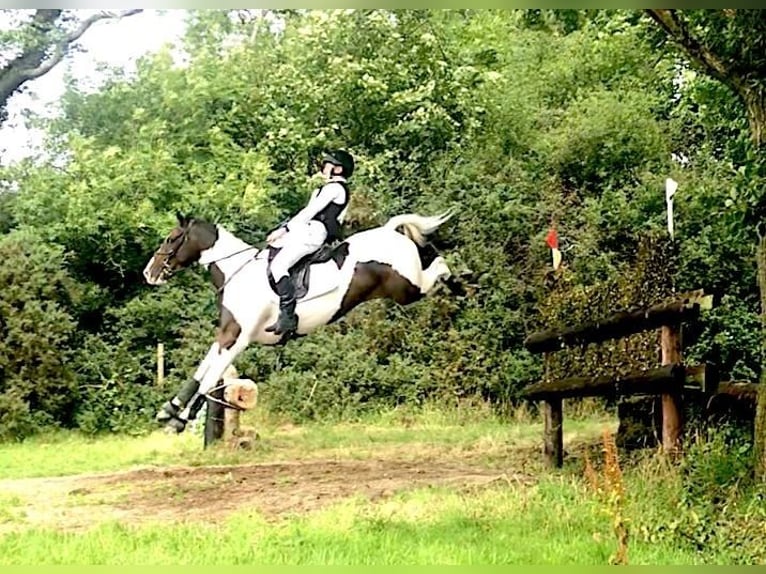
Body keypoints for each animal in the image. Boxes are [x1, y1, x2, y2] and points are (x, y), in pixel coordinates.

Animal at [141, 210, 460, 432]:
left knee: (438, 267)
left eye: (171, 238)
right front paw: (170, 410)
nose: (148, 273)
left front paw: (180, 419)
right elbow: (203, 370)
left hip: (408, 288)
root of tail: (390, 233)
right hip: (404, 288)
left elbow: (209, 378)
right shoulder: (227, 334)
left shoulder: (238, 338)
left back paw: (460, 284)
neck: (238, 272)